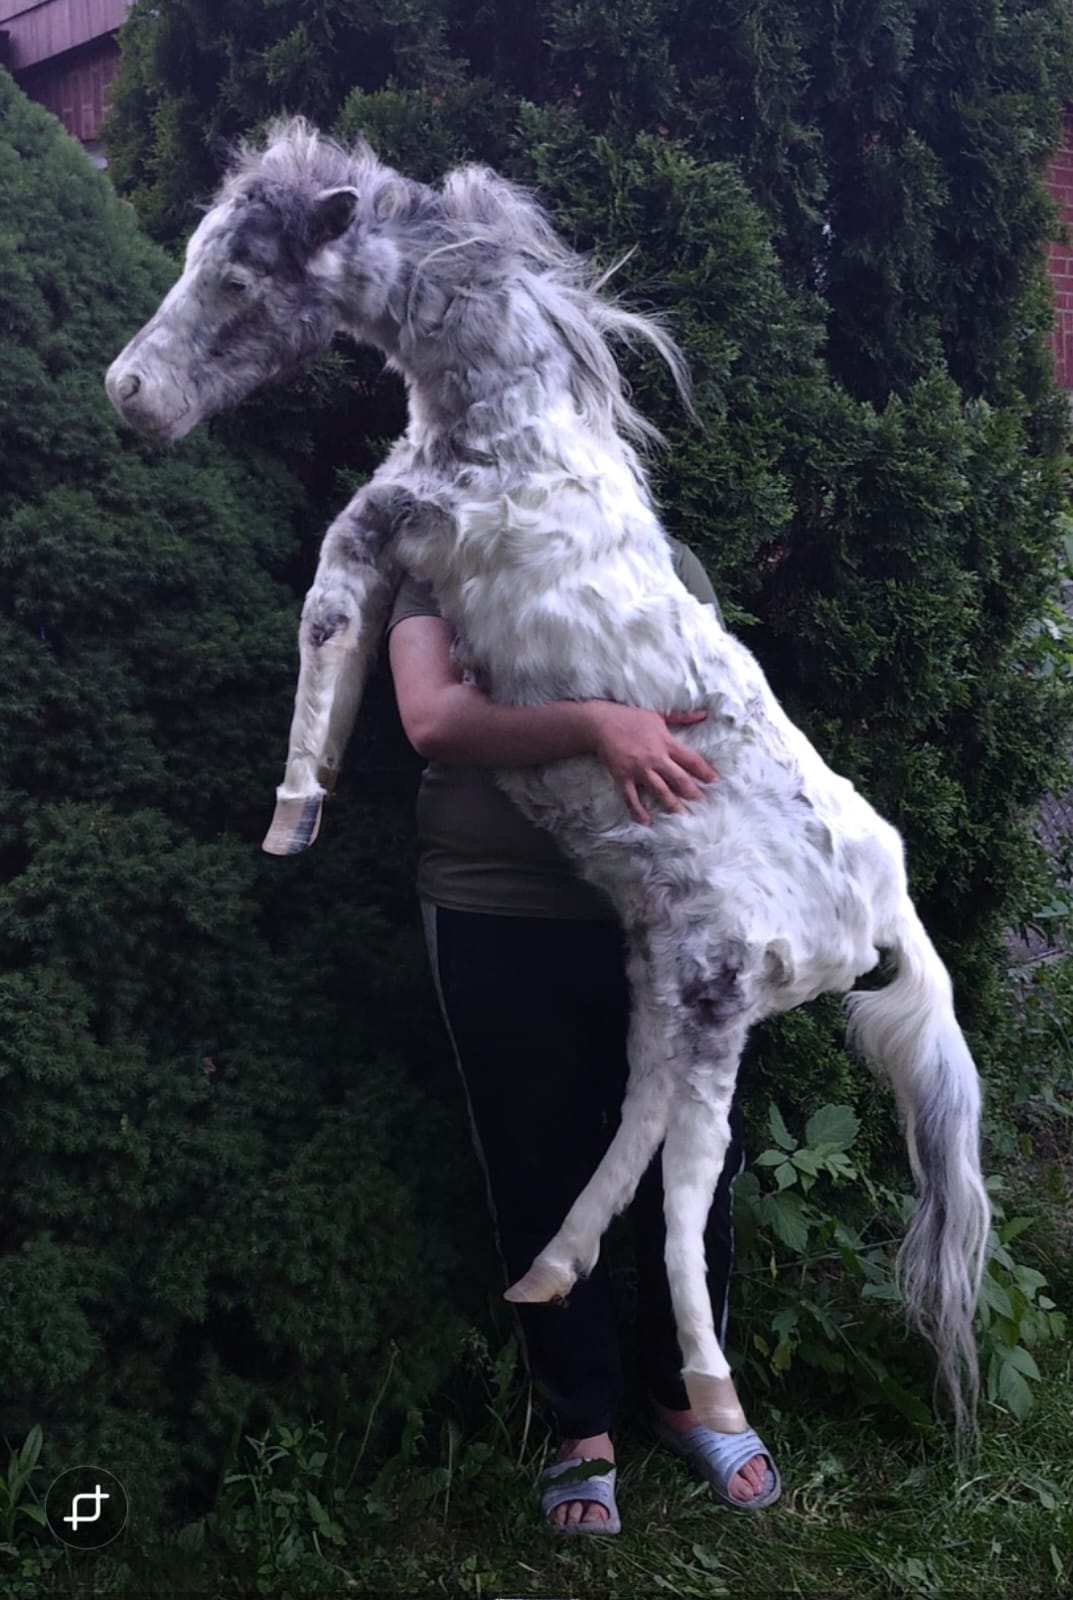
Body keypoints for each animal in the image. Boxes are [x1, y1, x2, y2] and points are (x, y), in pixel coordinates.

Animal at [106, 118, 990, 1434]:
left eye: (240, 280)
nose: (130, 395)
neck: (517, 431)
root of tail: (885, 907)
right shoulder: (405, 537)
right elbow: (348, 622)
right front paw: (304, 801)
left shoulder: (395, 521)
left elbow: (323, 602)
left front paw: (291, 812)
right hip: (660, 970)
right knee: (638, 1113)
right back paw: (545, 1271)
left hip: (719, 993)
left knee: (687, 1181)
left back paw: (708, 1389)